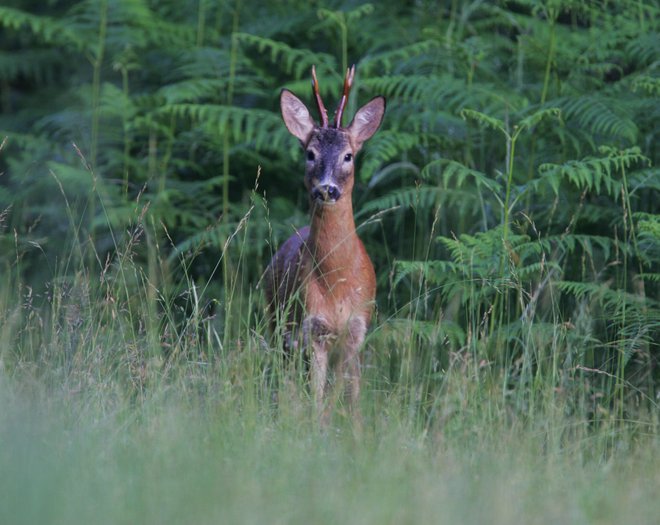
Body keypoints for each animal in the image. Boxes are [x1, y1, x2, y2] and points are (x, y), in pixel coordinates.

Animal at [264, 65, 384, 424]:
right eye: (310, 153)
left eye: (348, 155)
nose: (326, 189)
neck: (337, 282)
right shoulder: (312, 328)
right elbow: (318, 398)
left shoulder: (357, 329)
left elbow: (351, 396)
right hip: (277, 321)